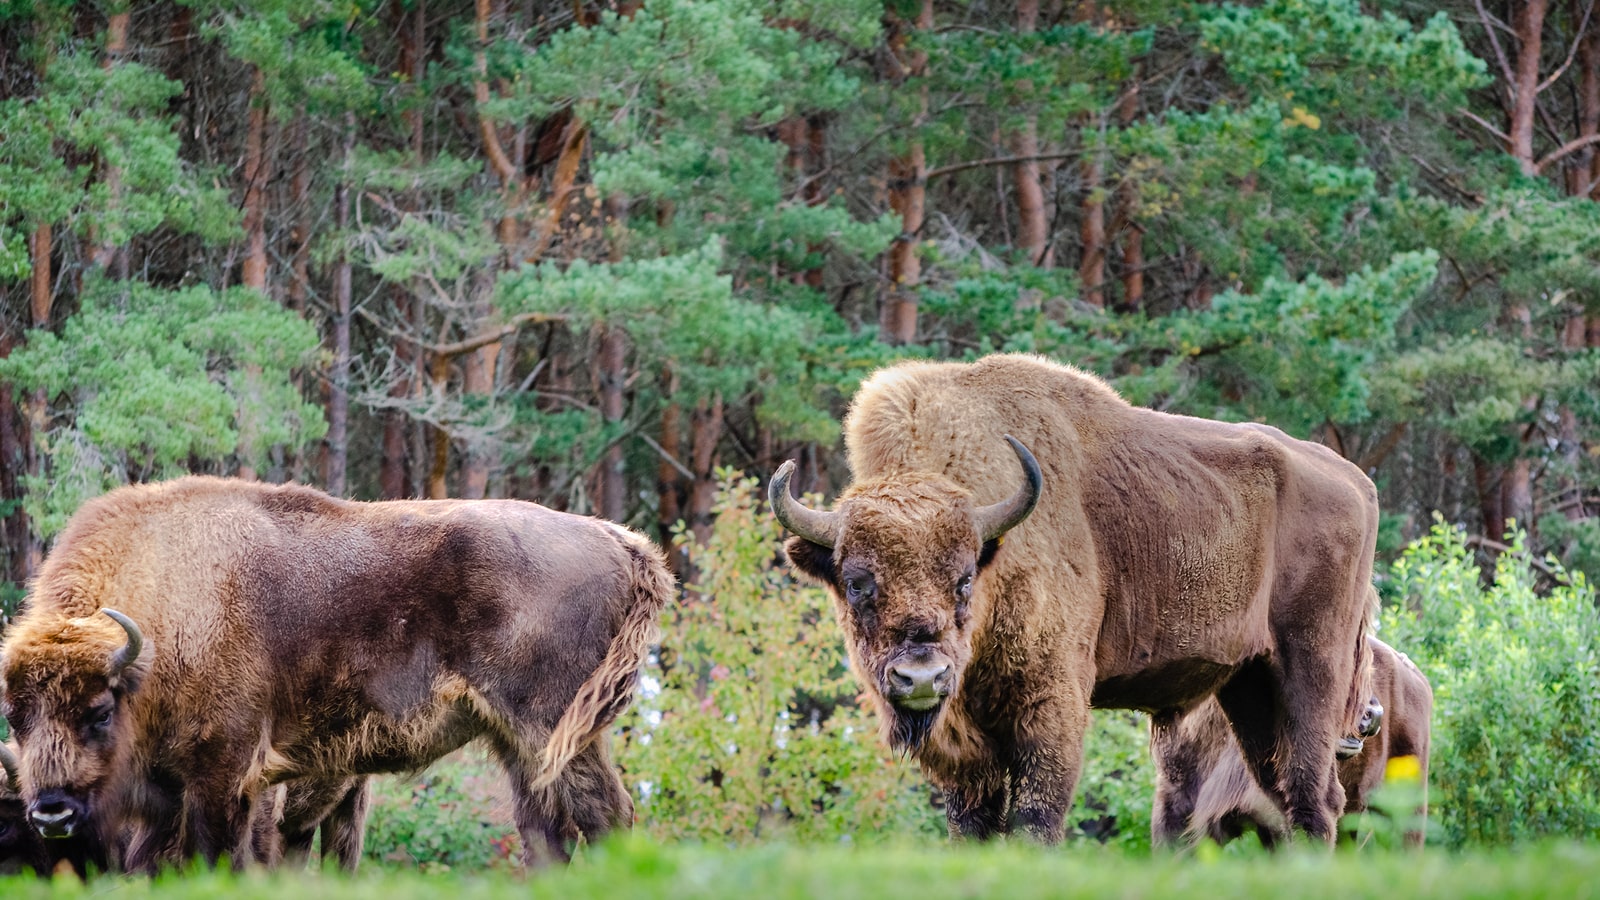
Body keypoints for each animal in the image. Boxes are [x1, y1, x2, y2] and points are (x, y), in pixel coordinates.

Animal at [774, 352, 1376, 839]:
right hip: (1249, 686)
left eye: (964, 577)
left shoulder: (1052, 703)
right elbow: (972, 822)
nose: (921, 677)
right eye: (857, 582)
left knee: (1312, 793)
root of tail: (1356, 481)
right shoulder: (965, 741)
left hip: (1310, 669)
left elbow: (1036, 816)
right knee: (1287, 791)